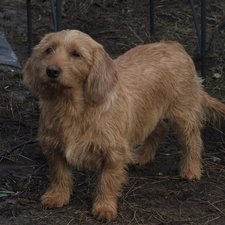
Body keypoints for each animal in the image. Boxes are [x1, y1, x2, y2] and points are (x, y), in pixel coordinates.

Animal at [22, 29, 225, 221]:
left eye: (76, 54)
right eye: (48, 50)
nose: (51, 70)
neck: (71, 107)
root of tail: (173, 45)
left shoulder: (113, 154)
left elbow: (107, 182)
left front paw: (105, 207)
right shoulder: (53, 148)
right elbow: (60, 174)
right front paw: (57, 196)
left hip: (183, 114)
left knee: (193, 141)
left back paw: (191, 169)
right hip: (149, 114)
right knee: (160, 129)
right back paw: (143, 155)